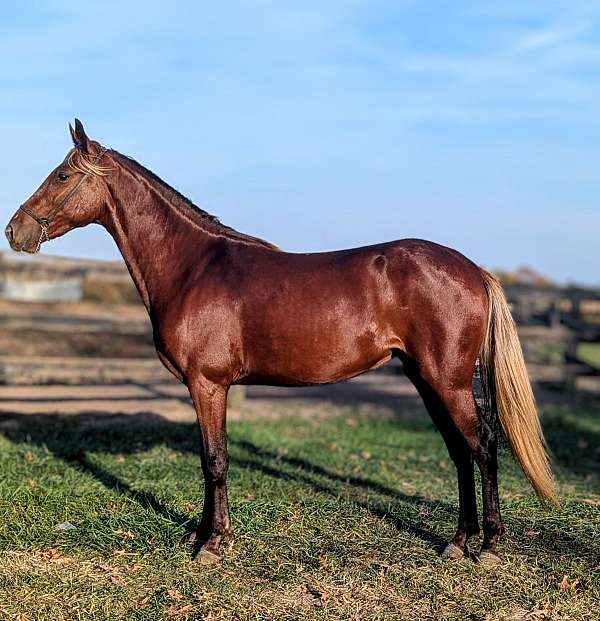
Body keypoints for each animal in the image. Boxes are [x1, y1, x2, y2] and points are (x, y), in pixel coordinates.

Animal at [5, 118, 556, 564]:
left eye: (61, 176)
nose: (14, 231)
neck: (192, 267)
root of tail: (473, 270)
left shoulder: (208, 384)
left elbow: (215, 460)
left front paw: (212, 544)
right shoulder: (207, 388)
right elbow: (209, 458)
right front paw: (203, 535)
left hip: (448, 380)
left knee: (483, 445)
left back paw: (488, 546)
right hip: (426, 378)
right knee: (460, 450)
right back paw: (457, 542)